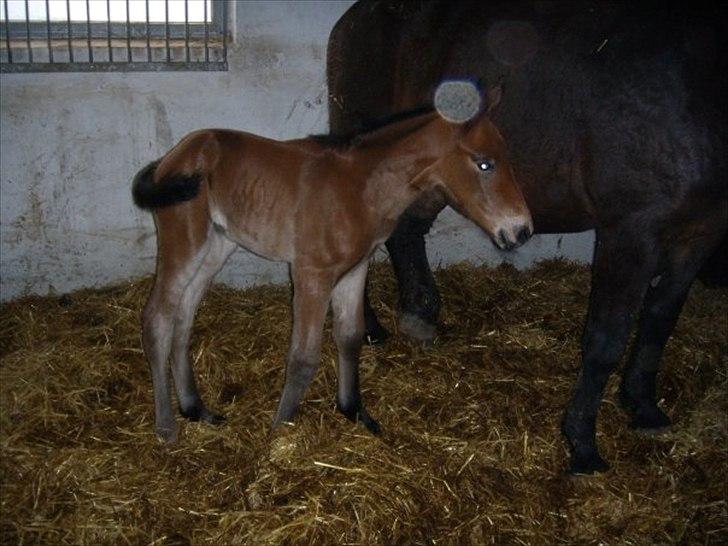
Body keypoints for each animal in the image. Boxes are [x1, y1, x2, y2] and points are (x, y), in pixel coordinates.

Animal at [131, 85, 532, 442]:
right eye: (484, 163)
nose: (522, 230)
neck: (362, 188)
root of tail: (173, 157)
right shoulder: (312, 275)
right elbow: (303, 357)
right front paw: (279, 432)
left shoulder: (355, 269)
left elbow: (350, 337)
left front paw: (354, 411)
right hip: (184, 241)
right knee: (157, 317)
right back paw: (166, 427)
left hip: (217, 247)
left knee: (183, 316)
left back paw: (195, 409)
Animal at [330, 0, 728, 470]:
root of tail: (354, 19)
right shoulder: (631, 232)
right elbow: (606, 339)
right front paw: (582, 443)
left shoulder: (700, 234)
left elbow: (659, 321)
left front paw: (643, 406)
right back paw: (370, 326)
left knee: (406, 232)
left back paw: (417, 315)